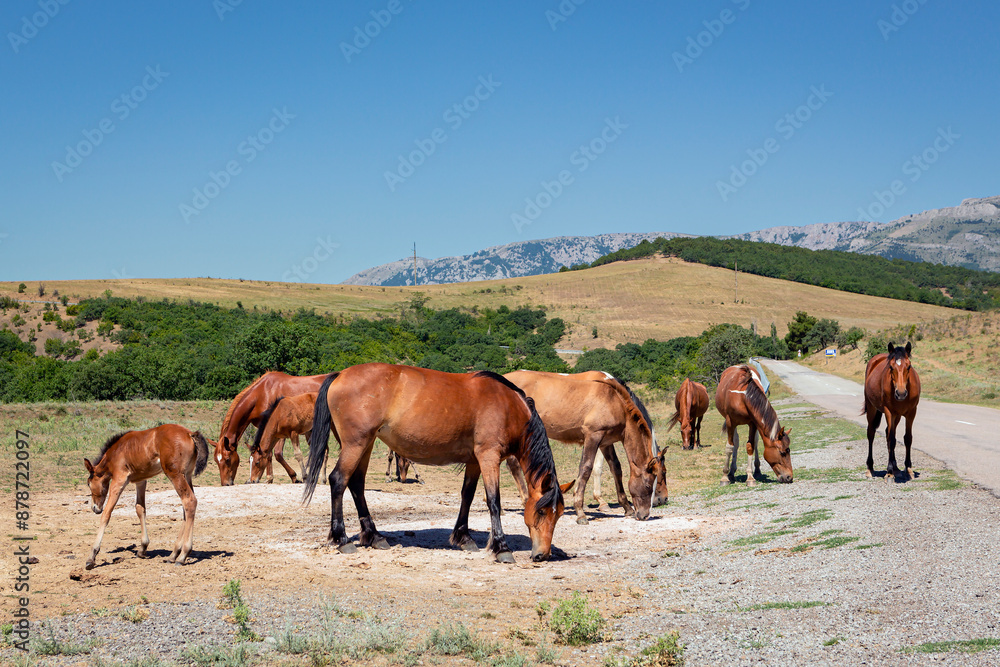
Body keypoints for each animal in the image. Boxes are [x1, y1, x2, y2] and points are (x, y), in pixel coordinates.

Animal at [82, 425, 210, 570]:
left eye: (88, 483)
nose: (94, 508)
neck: (116, 451)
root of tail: (189, 433)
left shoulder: (119, 480)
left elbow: (107, 514)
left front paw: (91, 557)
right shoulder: (141, 481)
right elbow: (140, 509)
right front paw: (143, 548)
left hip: (175, 474)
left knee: (189, 501)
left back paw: (183, 555)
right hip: (187, 475)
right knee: (186, 507)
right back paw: (173, 554)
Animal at [301, 364, 572, 563]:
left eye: (559, 514)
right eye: (541, 511)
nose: (542, 555)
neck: (508, 406)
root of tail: (339, 375)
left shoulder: (475, 461)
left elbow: (467, 496)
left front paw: (464, 538)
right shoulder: (489, 457)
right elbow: (493, 501)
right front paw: (501, 547)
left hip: (365, 444)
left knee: (356, 484)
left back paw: (375, 537)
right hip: (356, 444)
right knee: (338, 480)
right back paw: (342, 539)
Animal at [503, 370, 667, 524]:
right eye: (648, 485)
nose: (645, 515)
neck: (614, 401)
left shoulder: (606, 442)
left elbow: (616, 468)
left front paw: (627, 508)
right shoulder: (593, 437)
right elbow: (586, 469)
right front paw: (580, 512)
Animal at [863, 342, 921, 481]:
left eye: (909, 366)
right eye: (890, 367)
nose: (901, 393)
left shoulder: (911, 413)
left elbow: (907, 438)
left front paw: (908, 469)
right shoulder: (889, 412)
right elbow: (892, 439)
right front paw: (889, 472)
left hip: (897, 416)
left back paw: (896, 469)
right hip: (872, 408)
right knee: (871, 433)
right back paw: (870, 468)